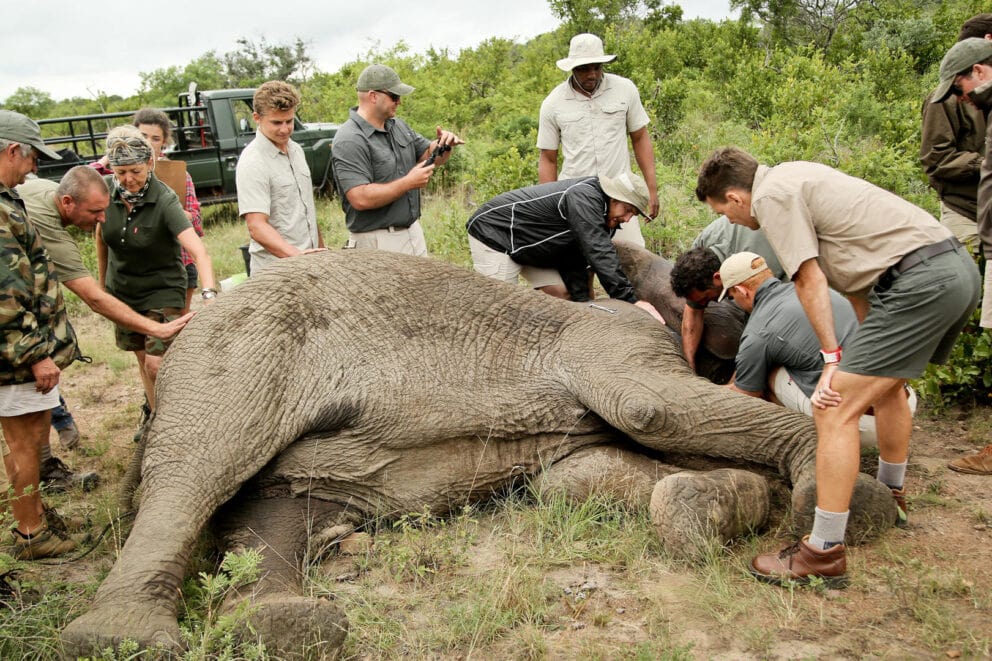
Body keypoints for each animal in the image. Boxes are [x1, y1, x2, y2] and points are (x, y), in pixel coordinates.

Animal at [61, 249, 896, 658]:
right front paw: (845, 503)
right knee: (200, 462)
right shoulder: (615, 339)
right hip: (241, 349)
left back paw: (280, 625)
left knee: (273, 509)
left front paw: (716, 505)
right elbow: (648, 405)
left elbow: (578, 477)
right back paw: (121, 639)